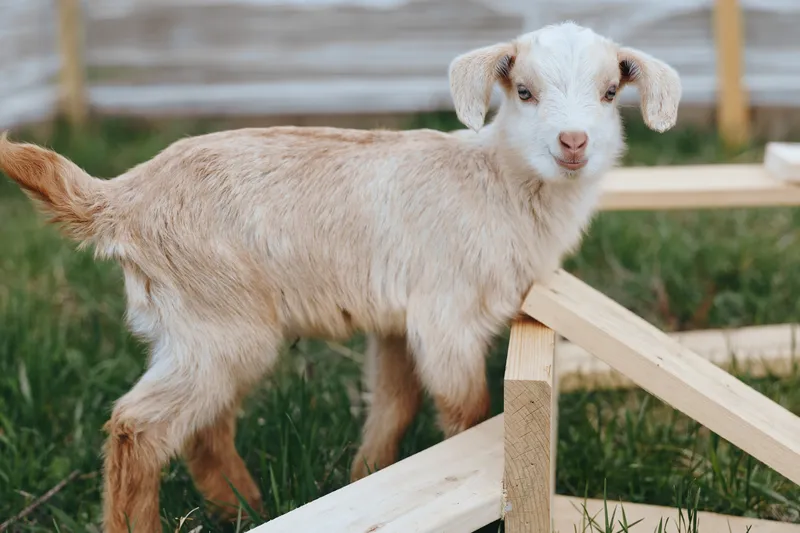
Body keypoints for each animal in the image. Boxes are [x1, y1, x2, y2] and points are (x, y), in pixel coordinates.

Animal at [0, 21, 680, 533]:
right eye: (524, 91)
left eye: (610, 90)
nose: (574, 142)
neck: (497, 184)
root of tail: (120, 199)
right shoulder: (447, 316)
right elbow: (468, 411)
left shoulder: (398, 321)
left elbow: (395, 404)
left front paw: (365, 474)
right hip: (220, 320)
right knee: (138, 428)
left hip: (199, 329)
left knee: (203, 430)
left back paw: (247, 508)